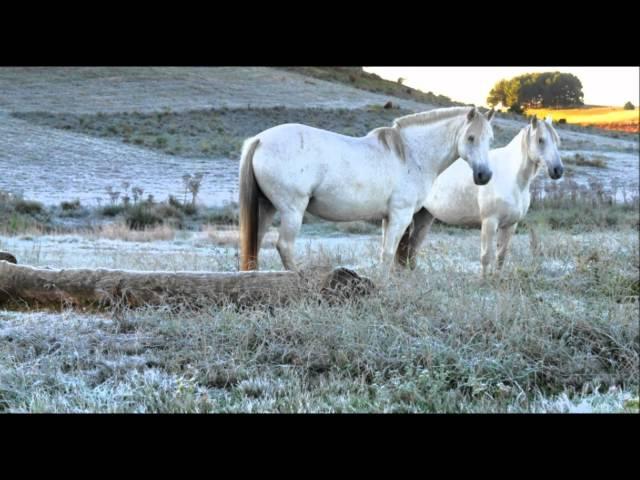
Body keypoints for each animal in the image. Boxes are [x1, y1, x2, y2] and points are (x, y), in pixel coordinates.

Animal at [240, 108, 496, 274]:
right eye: (471, 137)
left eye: (490, 139)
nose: (484, 175)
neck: (411, 154)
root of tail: (260, 140)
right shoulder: (400, 215)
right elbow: (389, 253)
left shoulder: (388, 217)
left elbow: (386, 252)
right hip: (292, 210)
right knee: (284, 246)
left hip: (266, 206)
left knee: (255, 242)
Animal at [402, 114, 564, 276]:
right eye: (540, 140)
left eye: (557, 141)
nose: (558, 170)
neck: (512, 177)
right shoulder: (489, 222)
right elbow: (486, 256)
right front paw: (483, 280)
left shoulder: (510, 225)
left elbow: (501, 257)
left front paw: (496, 279)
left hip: (425, 214)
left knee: (414, 245)